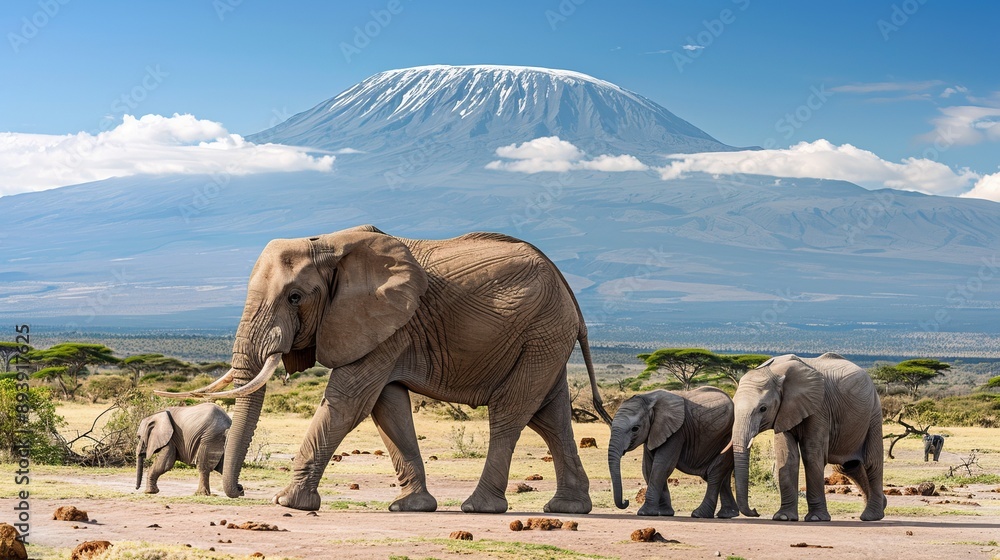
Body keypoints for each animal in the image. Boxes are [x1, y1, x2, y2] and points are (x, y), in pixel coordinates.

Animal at [156, 225, 611, 514]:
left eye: (295, 297)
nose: (239, 490)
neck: (328, 244)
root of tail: (569, 291)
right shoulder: (383, 330)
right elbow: (386, 407)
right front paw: (410, 507)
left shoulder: (386, 321)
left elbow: (349, 402)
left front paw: (287, 502)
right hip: (546, 338)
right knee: (550, 416)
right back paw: (568, 508)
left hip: (541, 331)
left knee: (511, 413)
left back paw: (479, 508)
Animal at [609, 387, 738, 519]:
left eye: (635, 429)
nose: (626, 501)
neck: (649, 399)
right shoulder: (654, 432)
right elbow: (648, 468)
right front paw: (665, 513)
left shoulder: (677, 432)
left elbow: (661, 466)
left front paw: (645, 513)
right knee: (722, 478)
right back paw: (727, 514)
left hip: (728, 437)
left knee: (715, 472)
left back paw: (699, 514)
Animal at [731, 353, 885, 522]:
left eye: (763, 408)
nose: (755, 511)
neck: (774, 371)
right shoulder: (785, 411)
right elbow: (787, 456)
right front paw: (784, 517)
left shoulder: (819, 407)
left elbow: (812, 454)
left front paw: (816, 518)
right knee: (848, 466)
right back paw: (880, 505)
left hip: (873, 413)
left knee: (871, 462)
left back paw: (872, 516)